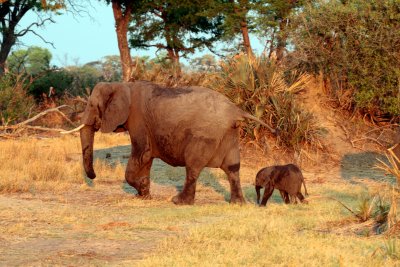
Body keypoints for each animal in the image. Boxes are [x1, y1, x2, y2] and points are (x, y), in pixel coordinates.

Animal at [75, 81, 276, 205]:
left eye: (92, 106)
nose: (93, 177)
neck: (123, 85)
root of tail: (236, 110)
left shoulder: (138, 120)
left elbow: (142, 154)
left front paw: (142, 190)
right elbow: (146, 159)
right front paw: (144, 196)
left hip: (205, 135)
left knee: (193, 166)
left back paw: (179, 202)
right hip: (229, 134)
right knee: (233, 167)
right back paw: (237, 204)